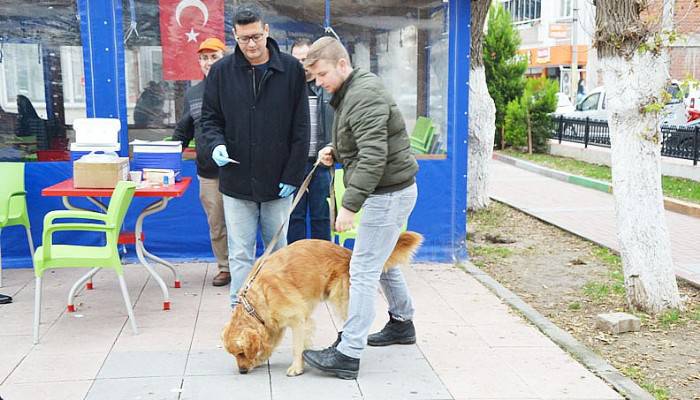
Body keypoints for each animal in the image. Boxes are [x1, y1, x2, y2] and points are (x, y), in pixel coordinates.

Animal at [221, 231, 424, 376]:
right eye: (235, 355)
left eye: (241, 353)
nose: (242, 371)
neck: (255, 303)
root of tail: (347, 252)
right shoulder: (275, 325)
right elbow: (271, 343)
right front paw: (261, 358)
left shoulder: (298, 320)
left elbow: (297, 346)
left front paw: (297, 367)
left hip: (341, 298)